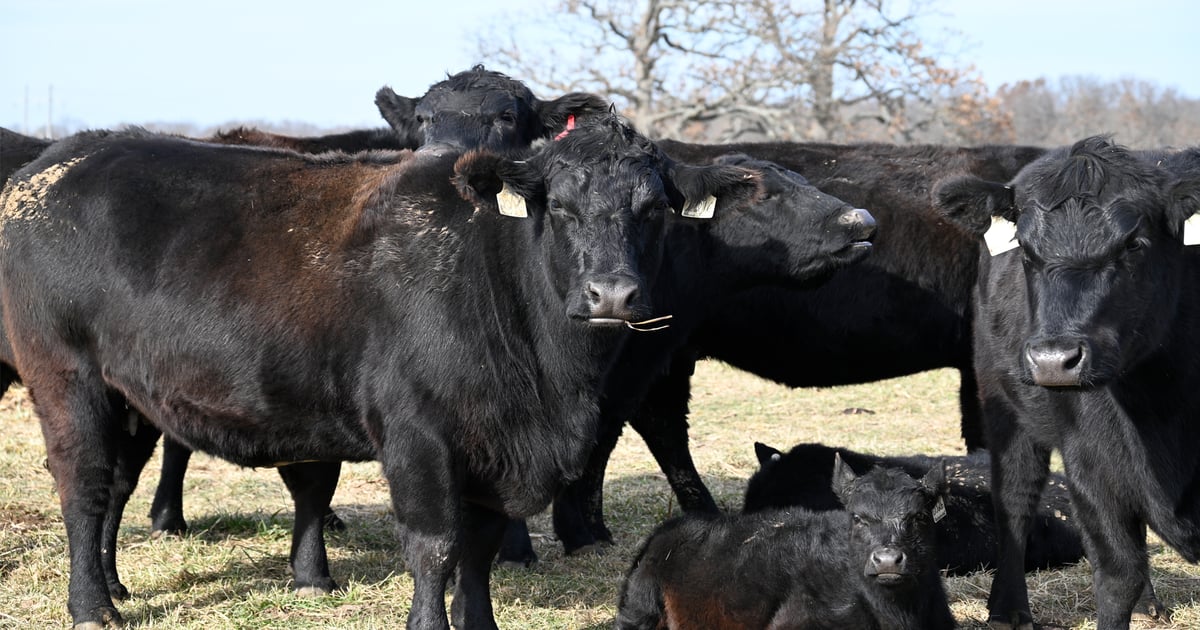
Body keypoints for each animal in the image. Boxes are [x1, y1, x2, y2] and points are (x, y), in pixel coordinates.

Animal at [0, 112, 775, 630]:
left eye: (655, 210)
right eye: (560, 207)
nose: (611, 293)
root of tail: (65, 156)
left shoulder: (495, 446)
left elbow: (480, 547)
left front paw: (479, 623)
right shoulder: (418, 433)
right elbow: (435, 544)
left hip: (129, 394)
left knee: (116, 484)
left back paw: (114, 588)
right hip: (65, 375)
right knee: (84, 485)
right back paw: (92, 607)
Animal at [933, 136, 1200, 630]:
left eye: (1134, 244)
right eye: (1027, 250)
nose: (1053, 360)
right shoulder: (1090, 464)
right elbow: (1117, 575)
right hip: (1005, 408)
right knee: (1016, 499)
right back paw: (1009, 608)